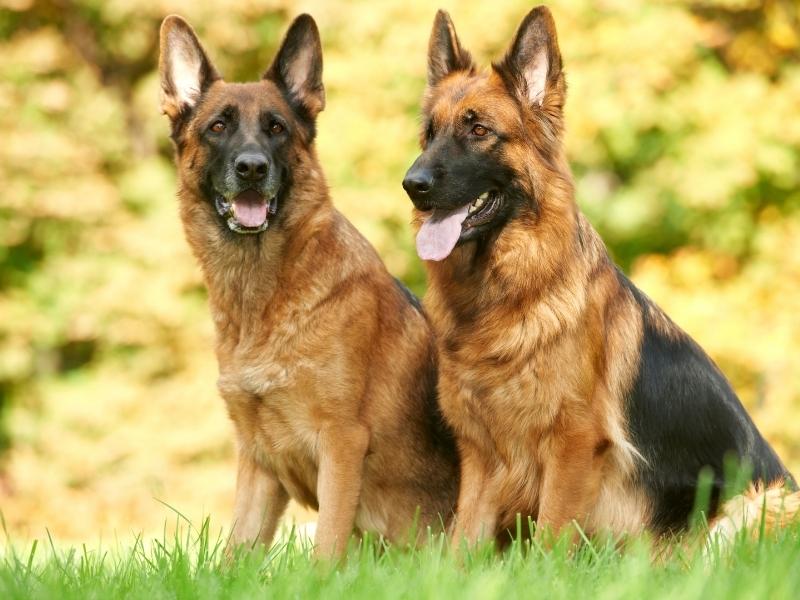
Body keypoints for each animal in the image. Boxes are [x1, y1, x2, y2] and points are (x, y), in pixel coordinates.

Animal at [157, 14, 460, 556]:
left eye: (276, 128)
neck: (263, 299)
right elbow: (236, 554)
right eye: (218, 127)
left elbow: (326, 550)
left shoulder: (341, 443)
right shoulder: (258, 463)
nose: (252, 168)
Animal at [404, 5, 796, 548]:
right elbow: (463, 543)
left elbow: (550, 538)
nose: (411, 185)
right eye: (430, 134)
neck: (503, 295)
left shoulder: (573, 445)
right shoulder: (481, 455)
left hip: (758, 505)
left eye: (479, 130)